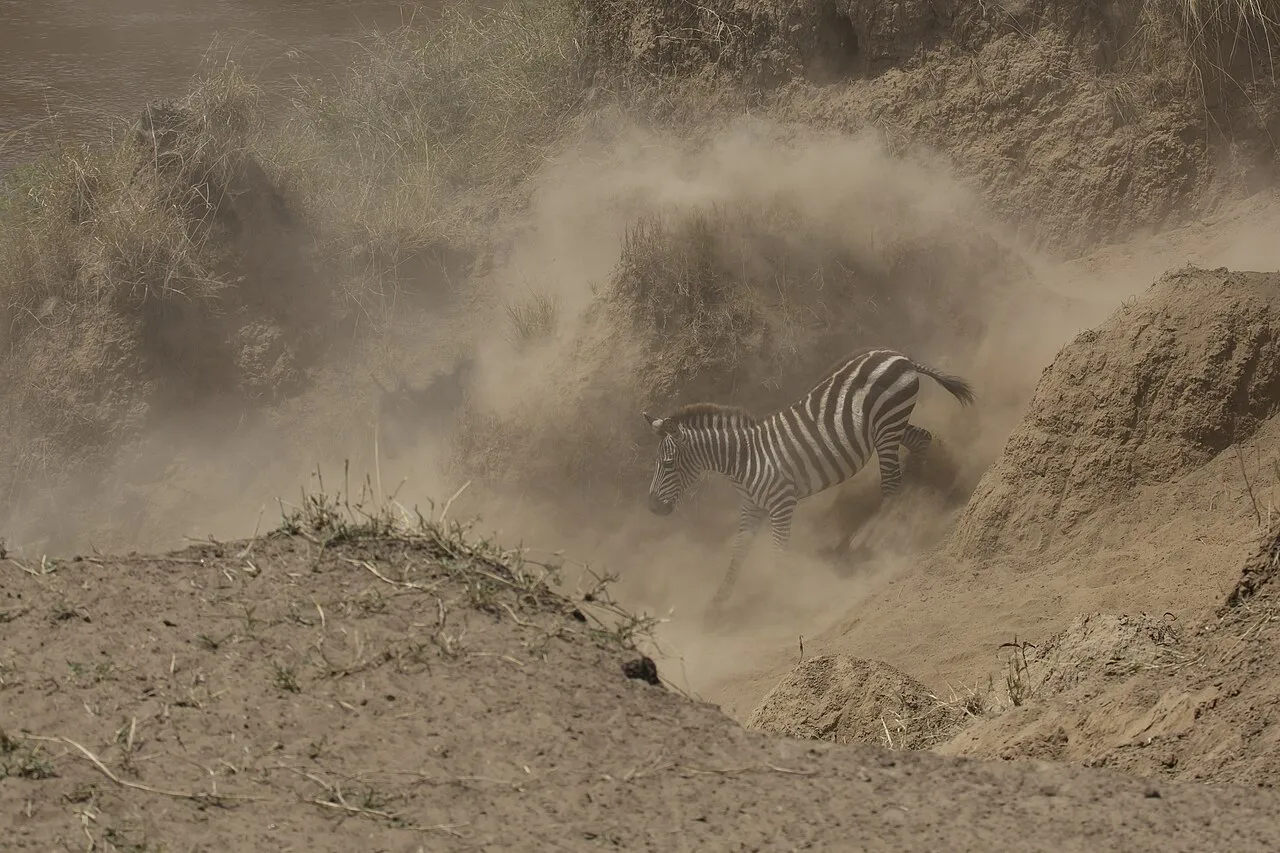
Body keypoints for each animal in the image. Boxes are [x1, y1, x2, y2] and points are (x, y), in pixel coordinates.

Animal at [641, 347, 974, 611]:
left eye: (667, 464)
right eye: (658, 464)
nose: (652, 508)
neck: (744, 459)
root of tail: (898, 355)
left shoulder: (781, 503)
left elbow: (778, 550)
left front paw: (783, 593)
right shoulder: (752, 507)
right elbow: (738, 553)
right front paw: (716, 603)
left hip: (887, 426)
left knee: (891, 482)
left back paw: (886, 527)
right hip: (891, 426)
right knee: (921, 440)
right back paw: (922, 489)